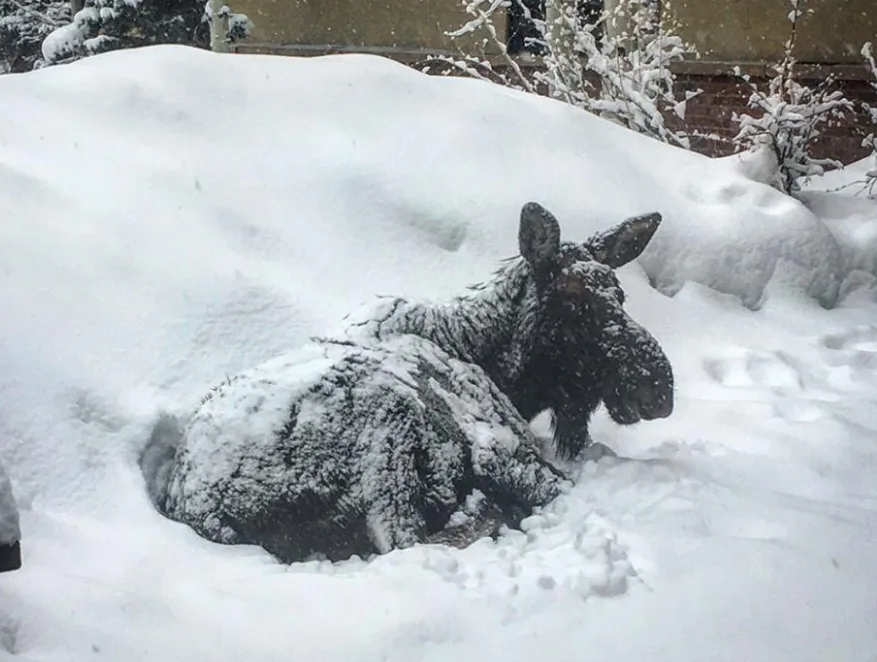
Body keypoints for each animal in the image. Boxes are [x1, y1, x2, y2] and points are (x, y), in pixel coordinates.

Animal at [144, 202, 676, 564]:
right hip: (390, 421)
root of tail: (200, 510)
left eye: (619, 293)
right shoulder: (504, 451)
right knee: (405, 539)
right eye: (574, 303)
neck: (501, 367)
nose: (659, 389)